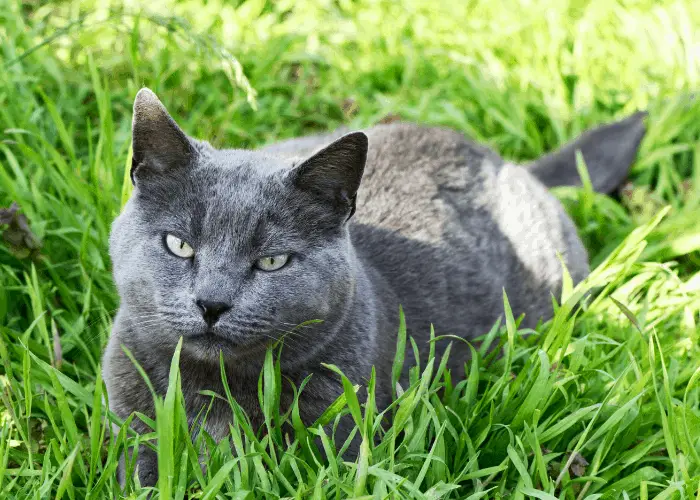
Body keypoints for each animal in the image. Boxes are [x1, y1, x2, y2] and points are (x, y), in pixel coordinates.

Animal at [102, 87, 644, 484]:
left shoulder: (341, 426)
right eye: (179, 245)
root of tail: (505, 161)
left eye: (272, 261)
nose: (212, 303)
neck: (217, 389)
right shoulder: (131, 422)